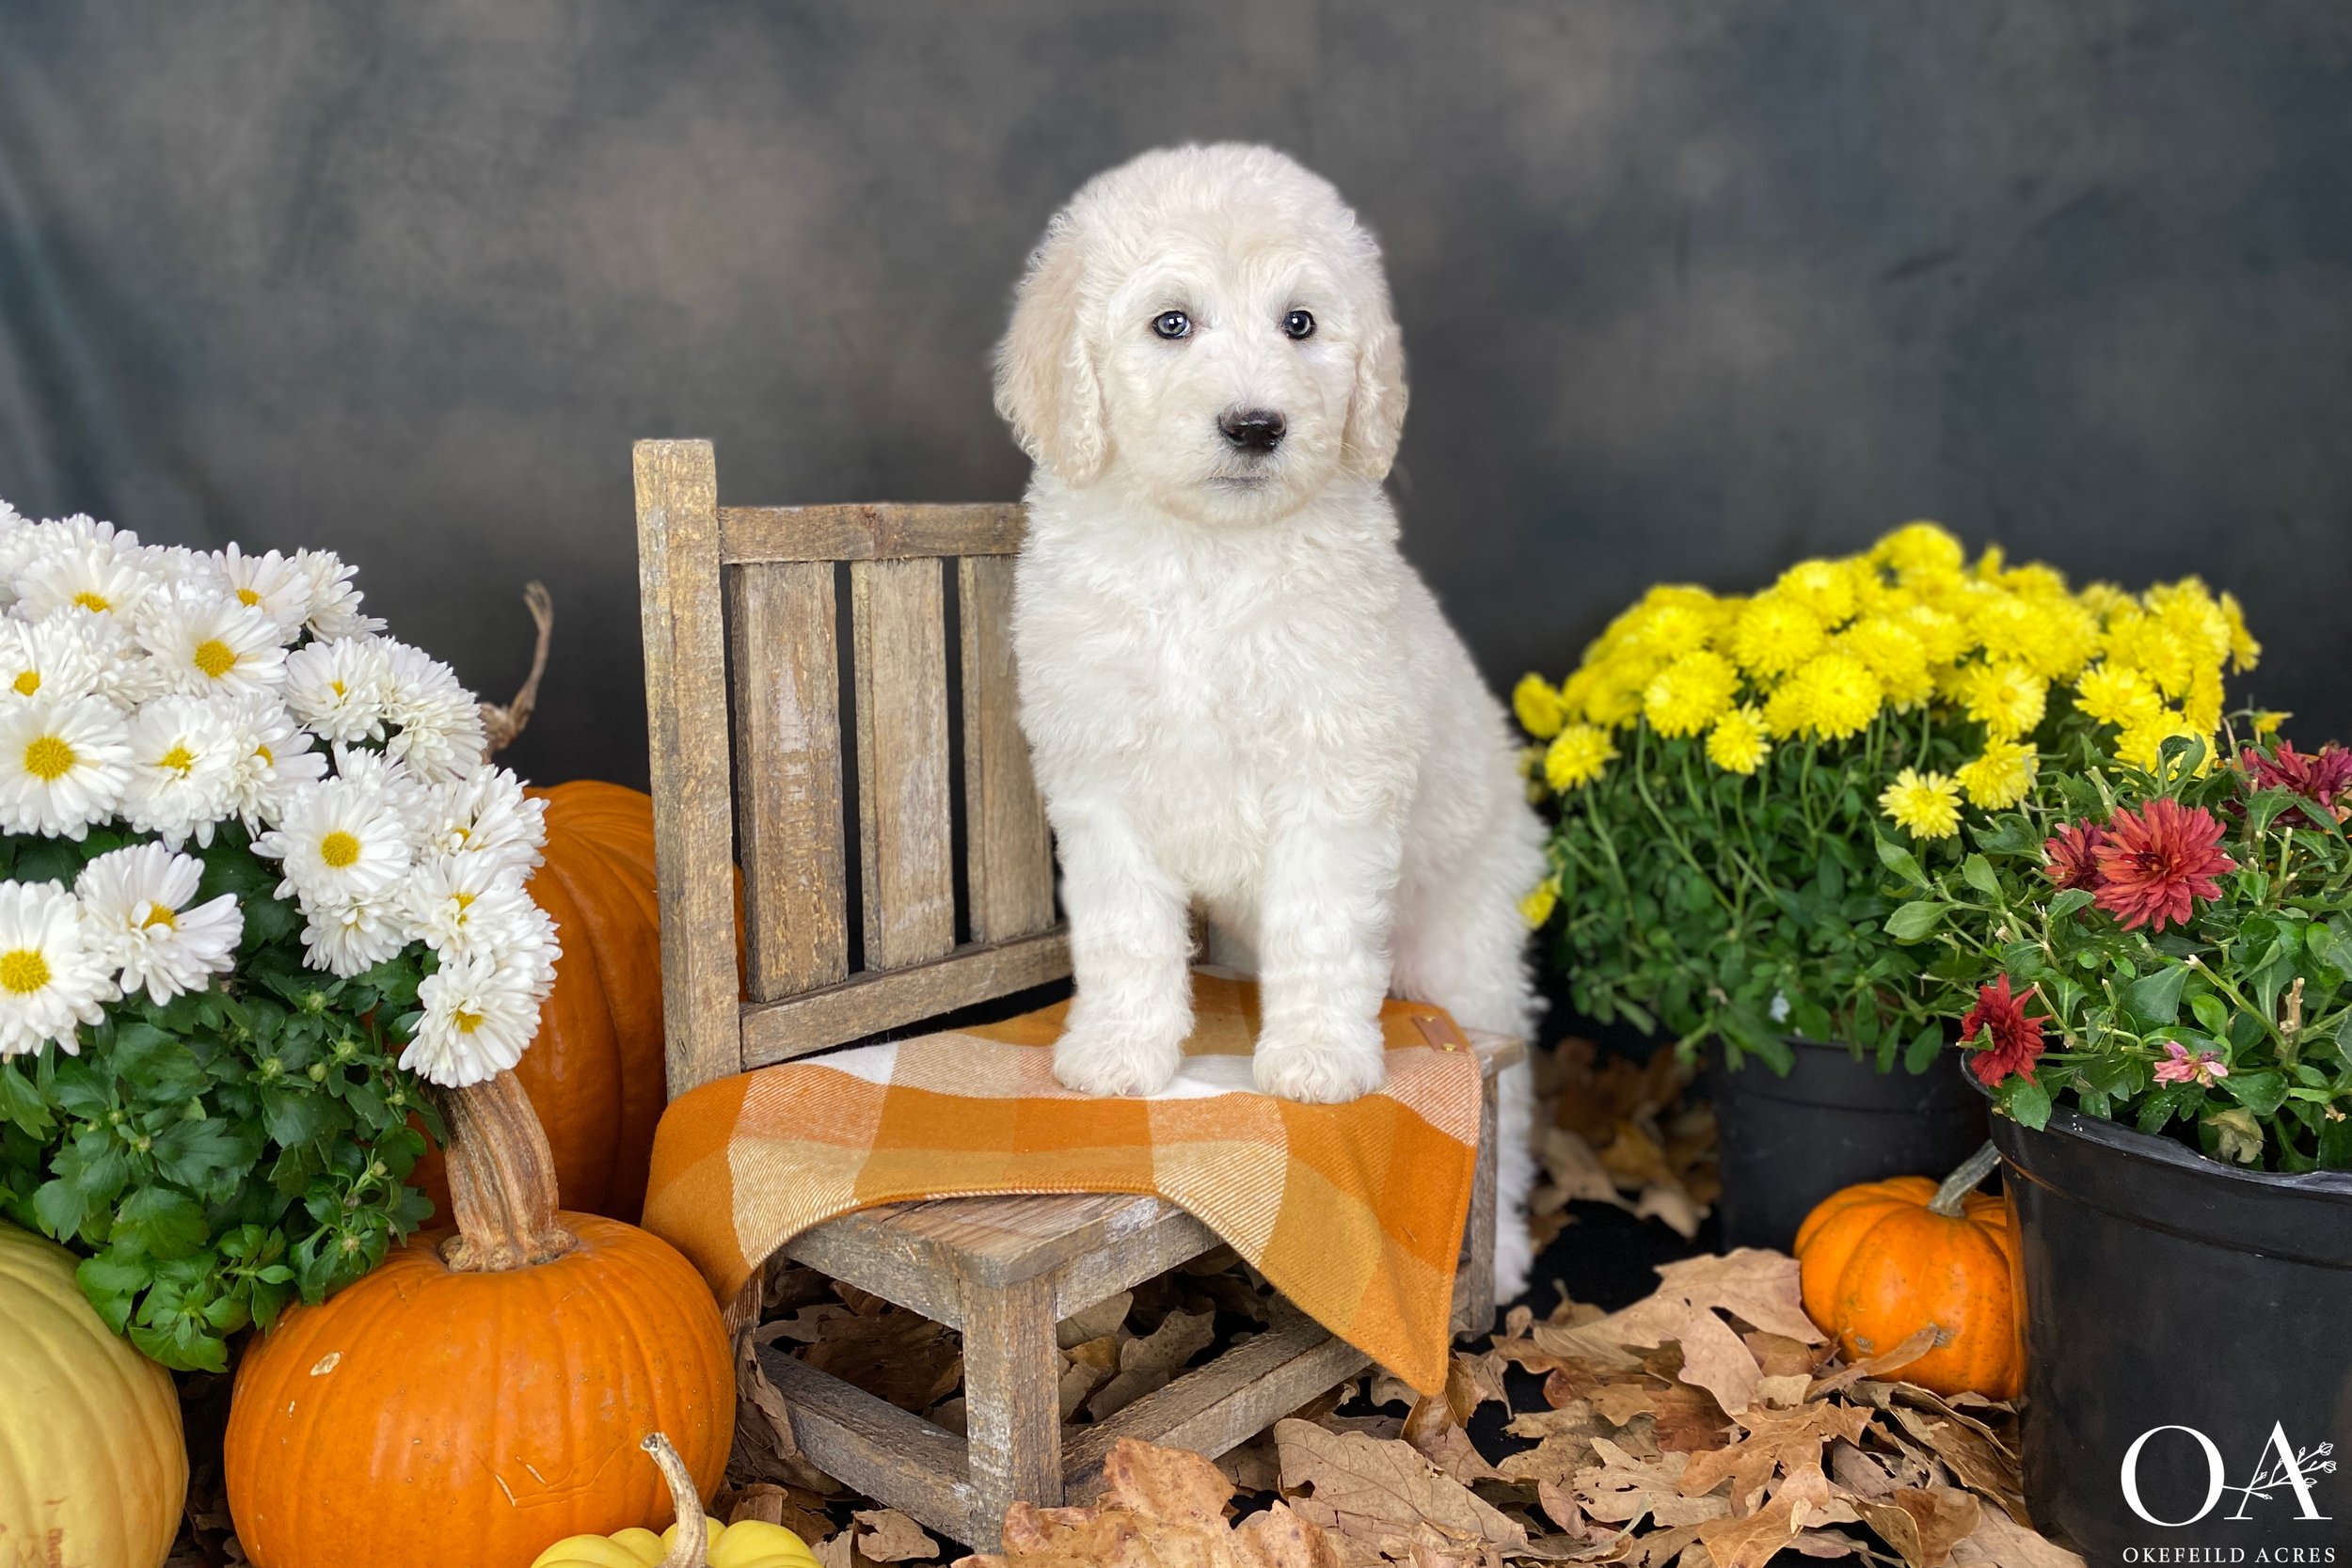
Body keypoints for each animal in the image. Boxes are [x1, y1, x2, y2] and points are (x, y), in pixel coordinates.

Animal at [988, 144, 1543, 1297]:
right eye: (1171, 323)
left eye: (1300, 323)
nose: (1255, 425)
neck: (1208, 555)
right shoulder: (1099, 779)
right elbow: (1124, 932)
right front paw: (1119, 1053)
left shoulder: (1336, 772)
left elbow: (1321, 927)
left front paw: (1318, 1062)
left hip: (1465, 945)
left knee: (1507, 1098)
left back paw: (1507, 1251)